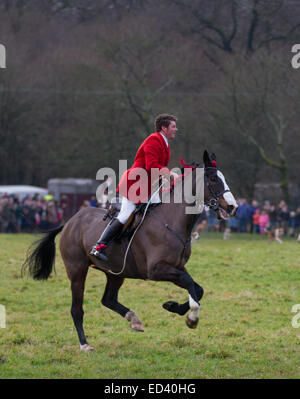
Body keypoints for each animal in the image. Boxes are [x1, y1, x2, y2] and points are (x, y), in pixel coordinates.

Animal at [22, 152, 238, 352]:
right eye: (212, 178)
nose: (233, 207)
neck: (172, 221)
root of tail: (71, 221)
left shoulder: (177, 267)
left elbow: (197, 289)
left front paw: (173, 307)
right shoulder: (157, 270)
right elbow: (190, 286)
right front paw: (191, 317)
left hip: (116, 272)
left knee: (108, 299)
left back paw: (133, 319)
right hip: (77, 270)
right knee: (77, 309)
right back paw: (84, 344)